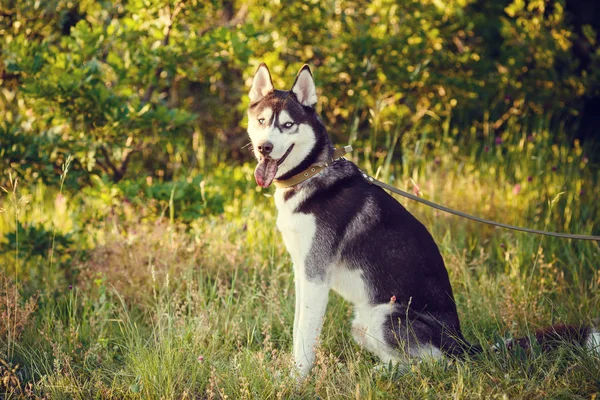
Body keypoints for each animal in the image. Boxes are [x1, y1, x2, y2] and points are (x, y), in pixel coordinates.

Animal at [245, 63, 600, 378]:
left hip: (384, 317)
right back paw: (384, 372)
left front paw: (296, 379)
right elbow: (297, 328)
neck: (312, 173)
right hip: (365, 324)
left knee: (440, 365)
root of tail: (464, 344)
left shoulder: (316, 275)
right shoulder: (303, 272)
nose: (265, 147)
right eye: (262, 121)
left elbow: (304, 336)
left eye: (288, 125)